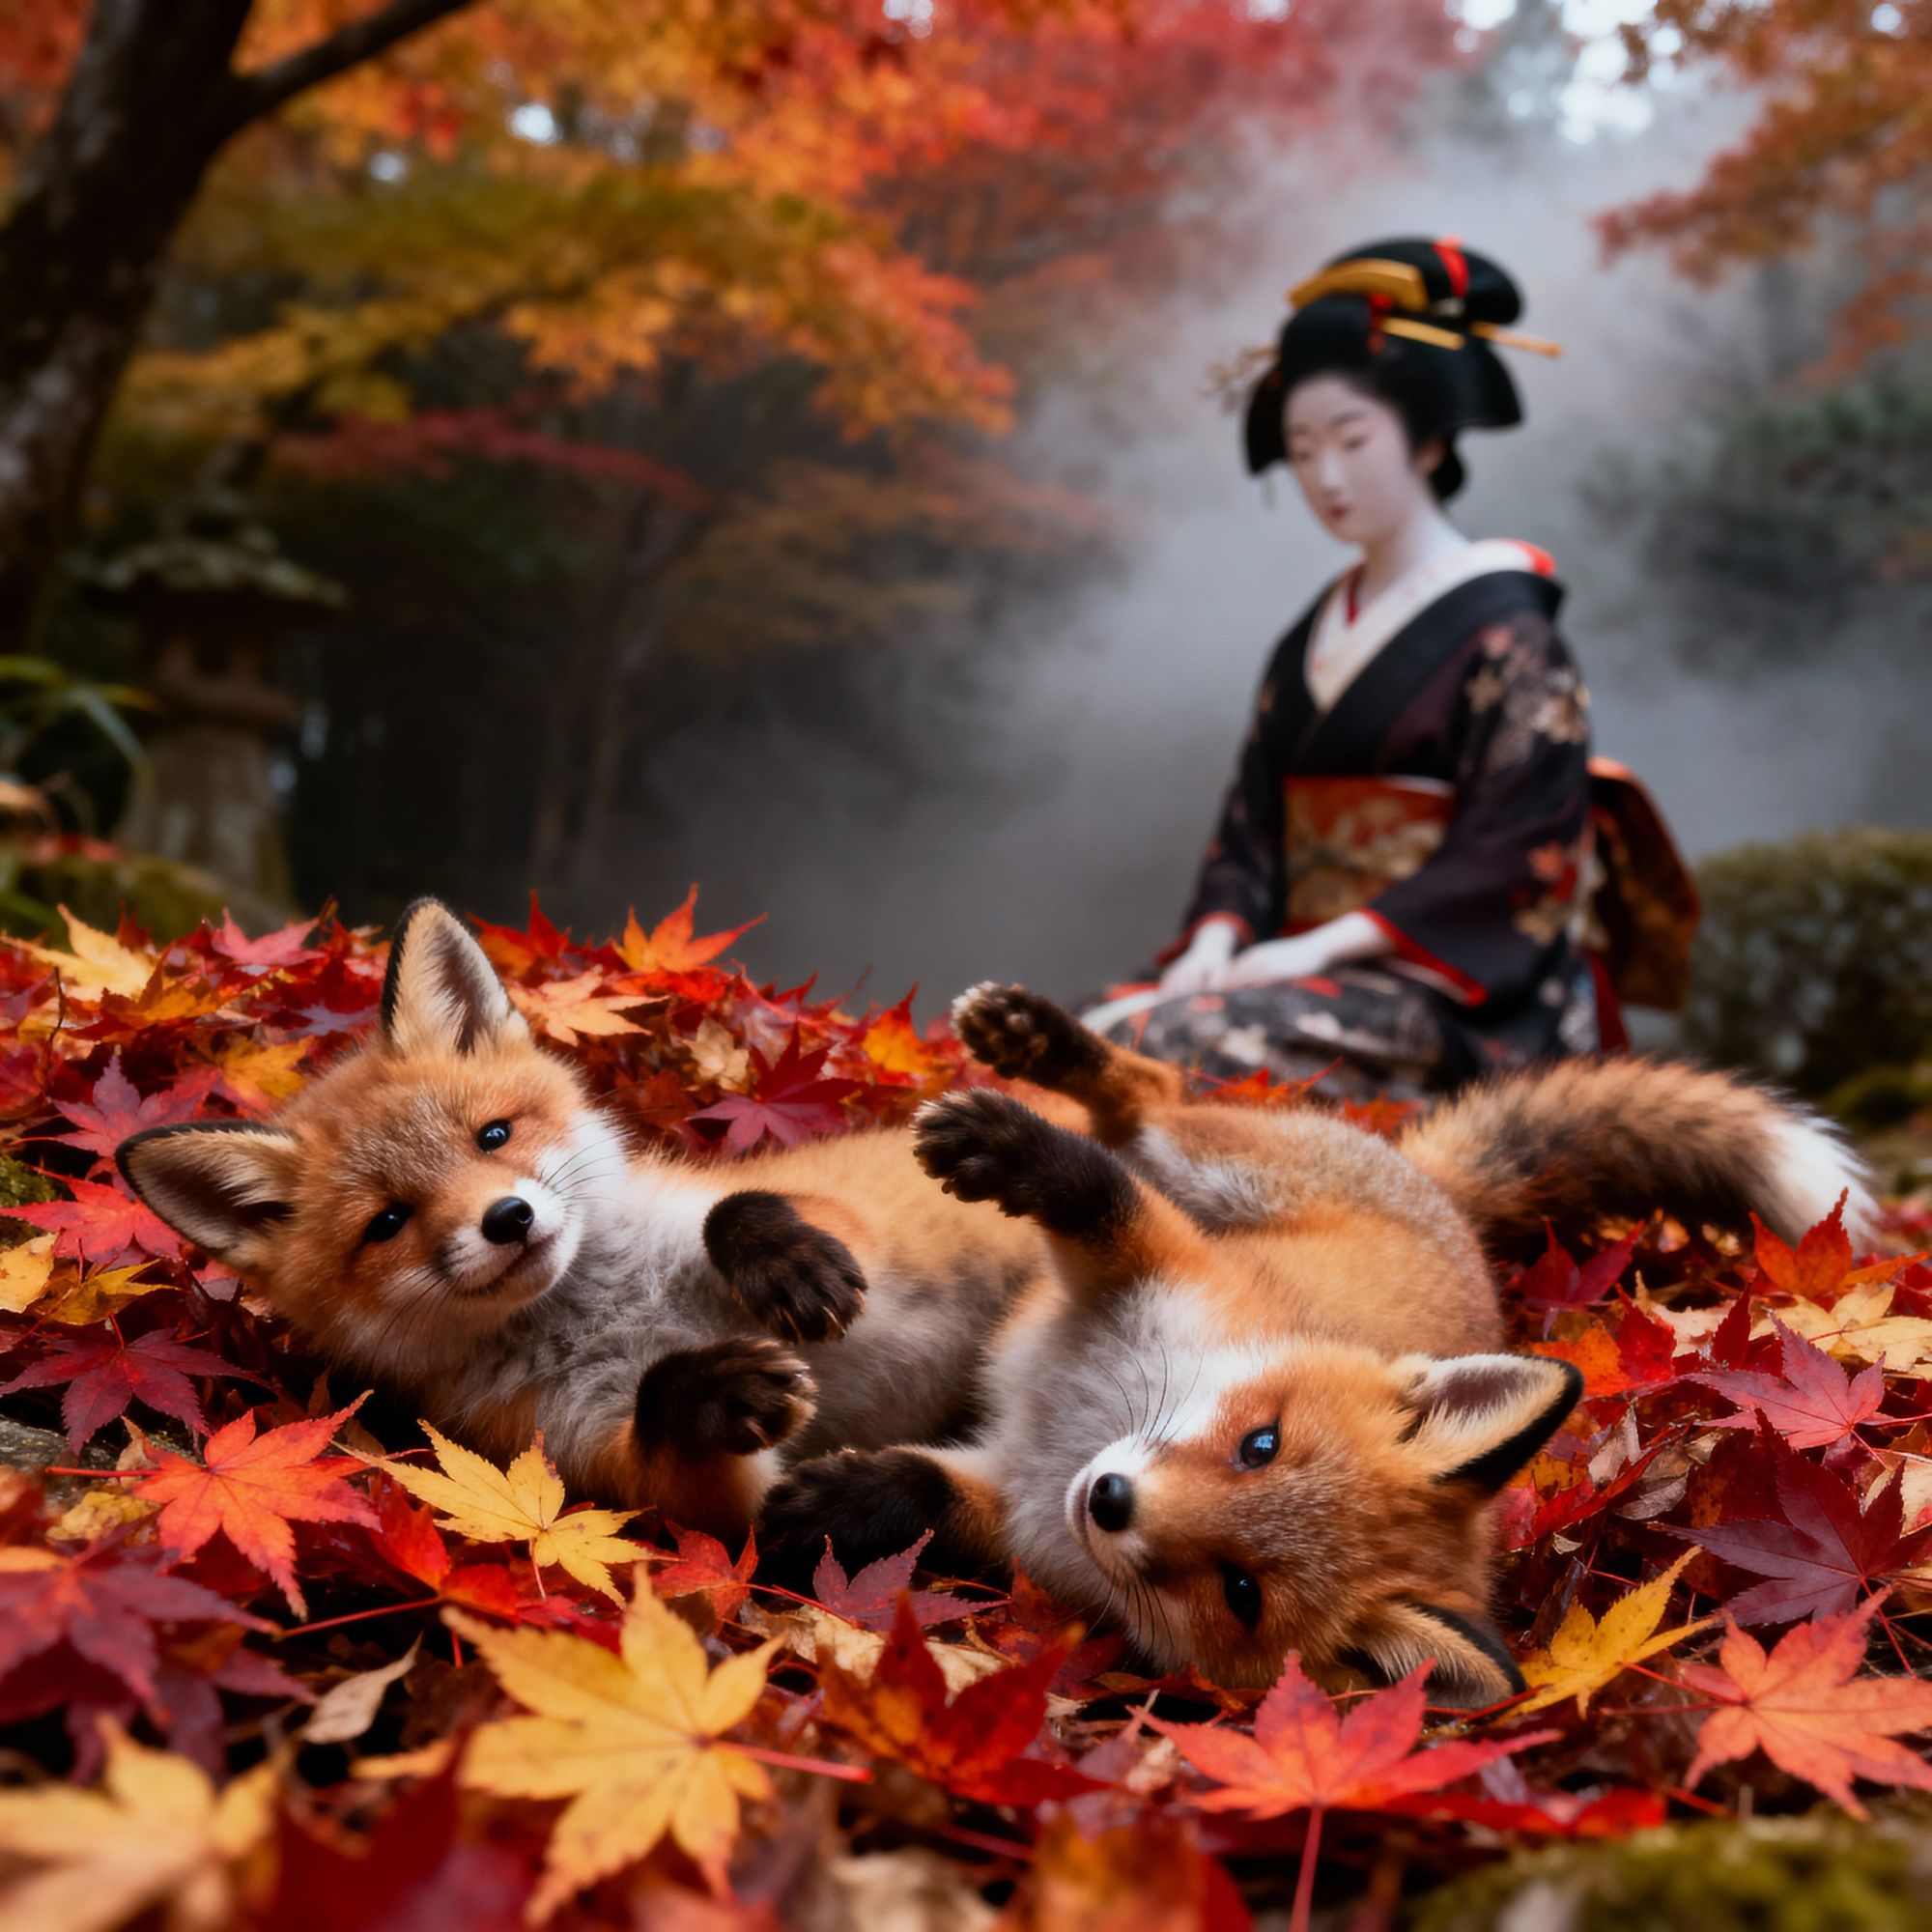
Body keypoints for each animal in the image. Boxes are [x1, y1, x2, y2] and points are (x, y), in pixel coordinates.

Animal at [117, 900, 1043, 1536]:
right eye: (387, 1223)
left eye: (493, 1135)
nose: (506, 1218)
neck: (604, 1308)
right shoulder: (624, 1465)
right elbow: (677, 1437)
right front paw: (711, 1385)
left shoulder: (839, 1221)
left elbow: (740, 1209)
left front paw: (790, 1266)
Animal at [759, 982, 1880, 1705]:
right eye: (1260, 1442)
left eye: (1240, 1593)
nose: (1112, 1500)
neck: (1077, 1424)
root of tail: (1452, 1211)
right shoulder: (1164, 1264)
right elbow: (1091, 1190)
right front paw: (1005, 1147)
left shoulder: (1024, 1514)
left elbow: (919, 1494)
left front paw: (815, 1506)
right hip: (1212, 1166)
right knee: (1150, 1098)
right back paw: (1033, 1045)